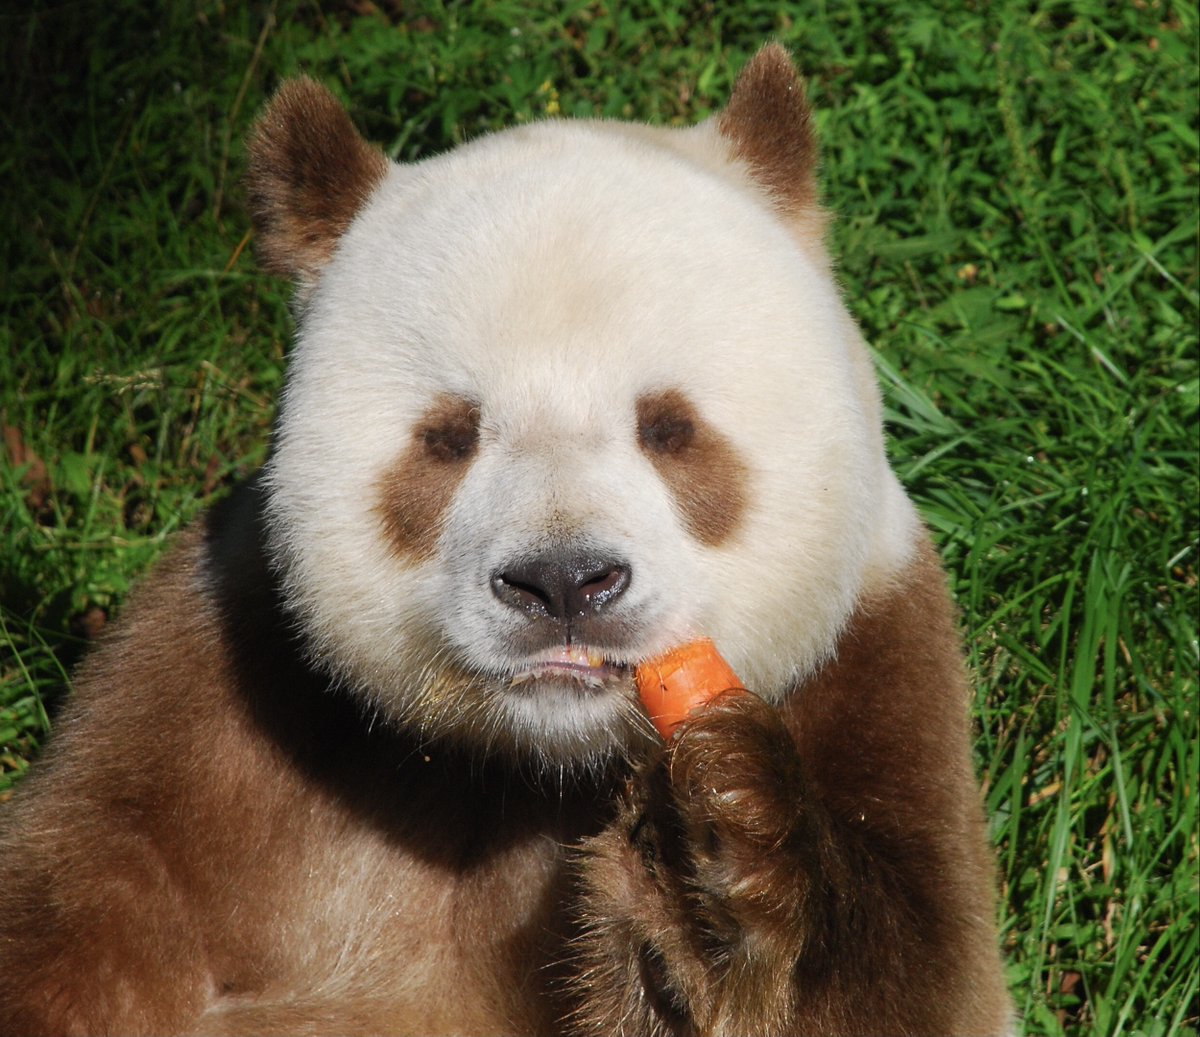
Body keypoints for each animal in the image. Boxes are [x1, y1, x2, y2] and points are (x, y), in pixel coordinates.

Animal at [0, 45, 1012, 1036]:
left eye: (668, 427)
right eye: (450, 437)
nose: (563, 582)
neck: (538, 764)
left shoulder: (880, 663)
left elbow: (902, 980)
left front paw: (718, 850)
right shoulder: (218, 685)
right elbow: (78, 893)